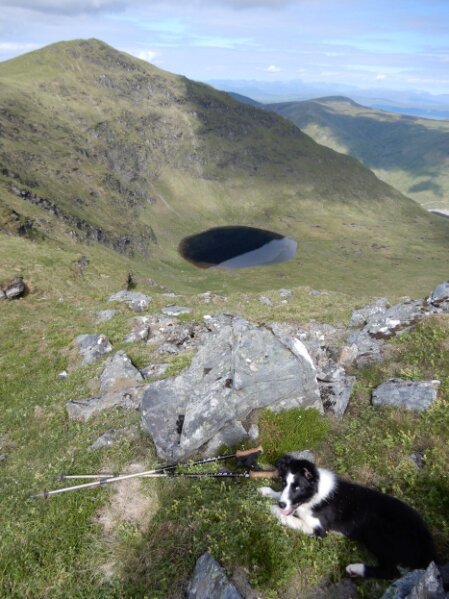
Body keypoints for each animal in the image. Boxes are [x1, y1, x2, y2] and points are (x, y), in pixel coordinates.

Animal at [258, 455, 436, 579]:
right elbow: (281, 498)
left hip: (375, 531)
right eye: (284, 483)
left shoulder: (319, 529)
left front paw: (273, 508)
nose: (282, 505)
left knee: (391, 572)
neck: (314, 494)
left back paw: (355, 568)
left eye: (297, 488)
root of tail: (427, 543)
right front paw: (267, 492)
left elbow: (293, 519)